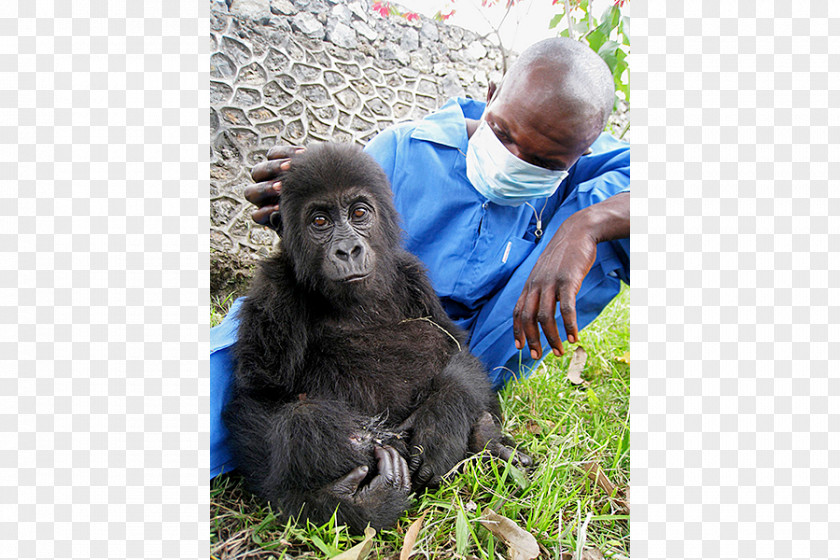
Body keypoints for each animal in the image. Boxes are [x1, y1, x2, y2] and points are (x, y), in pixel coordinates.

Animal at [223, 141, 524, 532]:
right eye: (320, 221)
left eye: (359, 213)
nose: (347, 249)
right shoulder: (274, 291)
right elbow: (261, 399)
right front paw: (340, 503)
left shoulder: (413, 274)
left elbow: (459, 351)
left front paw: (440, 425)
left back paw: (487, 440)